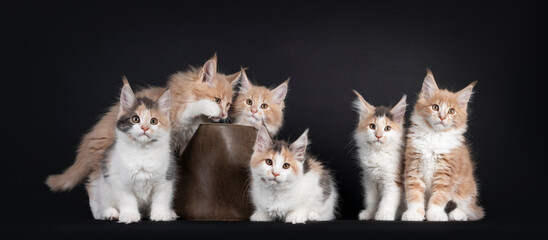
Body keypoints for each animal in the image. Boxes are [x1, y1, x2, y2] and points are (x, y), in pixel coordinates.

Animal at [47, 54, 242, 191]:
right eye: (217, 100)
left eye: (228, 104)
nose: (223, 113)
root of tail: (89, 138)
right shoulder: (174, 114)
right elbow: (190, 109)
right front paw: (207, 108)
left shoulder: (186, 138)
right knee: (93, 184)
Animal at [86, 80, 176, 223]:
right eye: (135, 119)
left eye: (153, 121)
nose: (144, 128)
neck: (142, 152)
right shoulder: (120, 181)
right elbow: (127, 200)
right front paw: (130, 215)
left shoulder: (165, 178)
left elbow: (161, 199)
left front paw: (161, 214)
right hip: (104, 186)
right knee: (103, 202)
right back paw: (110, 213)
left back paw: (170, 213)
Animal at [354, 90, 408, 221]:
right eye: (372, 126)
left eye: (387, 128)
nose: (378, 136)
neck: (378, 154)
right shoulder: (370, 180)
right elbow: (371, 200)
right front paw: (370, 213)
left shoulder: (393, 180)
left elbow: (387, 200)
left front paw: (384, 214)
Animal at [398, 69, 484, 221]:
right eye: (435, 107)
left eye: (451, 111)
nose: (442, 117)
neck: (434, 136)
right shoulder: (413, 167)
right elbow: (414, 194)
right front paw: (415, 213)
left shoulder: (446, 172)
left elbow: (439, 196)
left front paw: (435, 214)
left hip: (467, 188)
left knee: (470, 209)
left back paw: (457, 214)